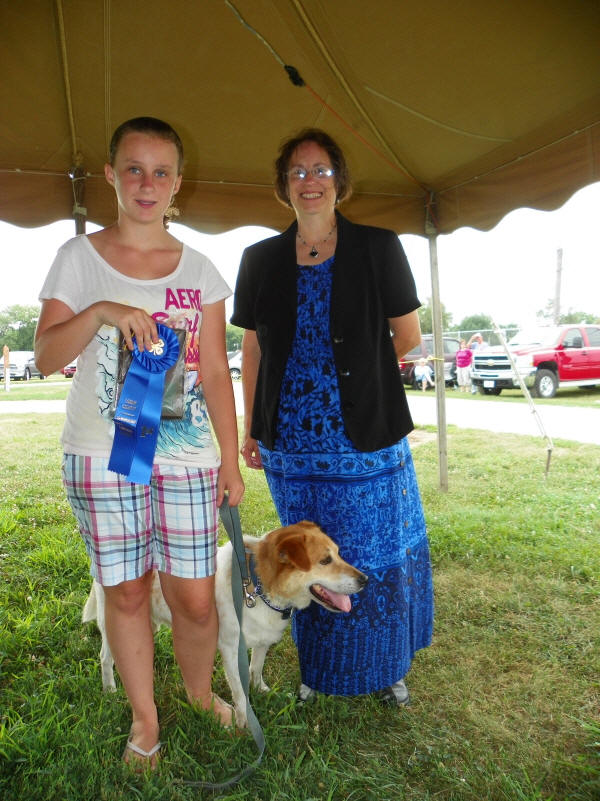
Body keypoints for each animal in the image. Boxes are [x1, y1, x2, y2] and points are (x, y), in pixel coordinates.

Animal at [82, 520, 368, 727]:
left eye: (339, 554)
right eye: (325, 561)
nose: (365, 580)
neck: (259, 588)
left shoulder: (262, 641)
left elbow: (256, 669)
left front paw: (262, 690)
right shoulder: (231, 650)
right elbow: (240, 692)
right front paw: (243, 723)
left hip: (150, 623)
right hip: (113, 624)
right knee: (105, 657)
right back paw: (110, 689)